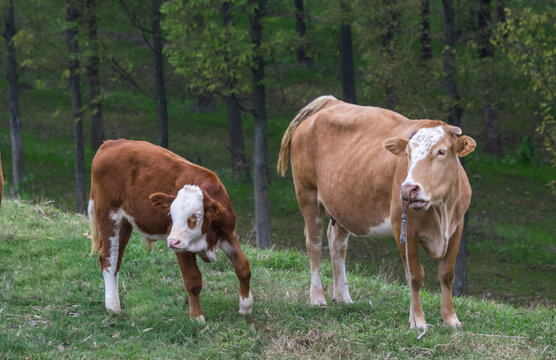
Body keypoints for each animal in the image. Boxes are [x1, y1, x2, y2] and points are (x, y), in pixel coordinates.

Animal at [88, 139, 252, 322]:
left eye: (195, 215)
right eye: (171, 214)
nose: (172, 241)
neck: (208, 237)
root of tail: (110, 143)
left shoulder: (228, 233)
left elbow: (243, 267)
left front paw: (246, 307)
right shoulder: (182, 249)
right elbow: (193, 280)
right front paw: (197, 317)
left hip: (125, 222)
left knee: (117, 257)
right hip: (108, 215)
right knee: (108, 257)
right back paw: (113, 306)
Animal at [278, 95, 478, 330]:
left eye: (441, 151)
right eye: (408, 154)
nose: (408, 189)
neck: (441, 210)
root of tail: (329, 102)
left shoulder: (457, 228)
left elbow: (447, 274)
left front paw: (450, 319)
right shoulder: (404, 228)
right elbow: (415, 276)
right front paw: (417, 320)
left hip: (344, 204)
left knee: (337, 244)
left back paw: (342, 296)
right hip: (307, 194)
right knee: (314, 244)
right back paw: (318, 297)